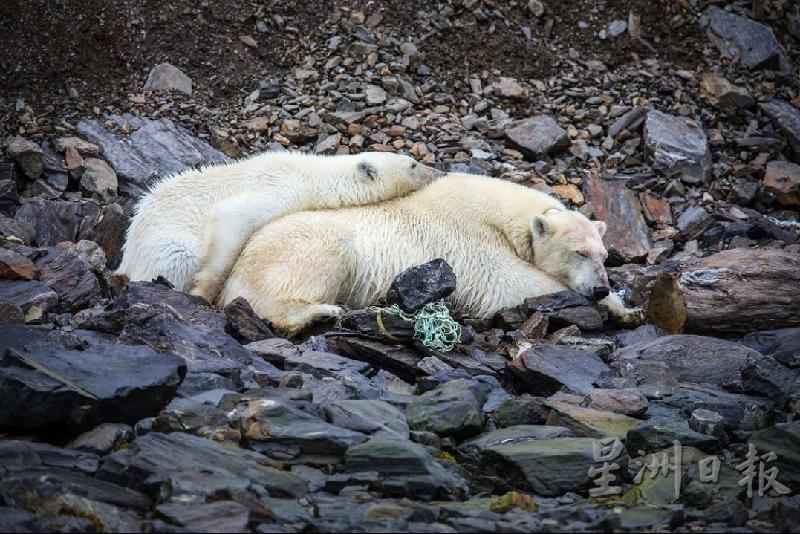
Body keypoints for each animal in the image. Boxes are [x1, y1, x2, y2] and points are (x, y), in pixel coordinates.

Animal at [117, 151, 444, 298]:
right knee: (178, 256)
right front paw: (203, 292)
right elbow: (230, 218)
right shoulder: (275, 188)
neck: (307, 173)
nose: (438, 170)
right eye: (413, 164)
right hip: (163, 245)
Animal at [217, 173, 636, 336]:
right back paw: (320, 311)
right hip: (298, 245)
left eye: (604, 255)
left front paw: (625, 307)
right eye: (578, 252)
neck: (502, 213)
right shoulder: (470, 240)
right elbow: (507, 283)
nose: (600, 288)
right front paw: (615, 305)